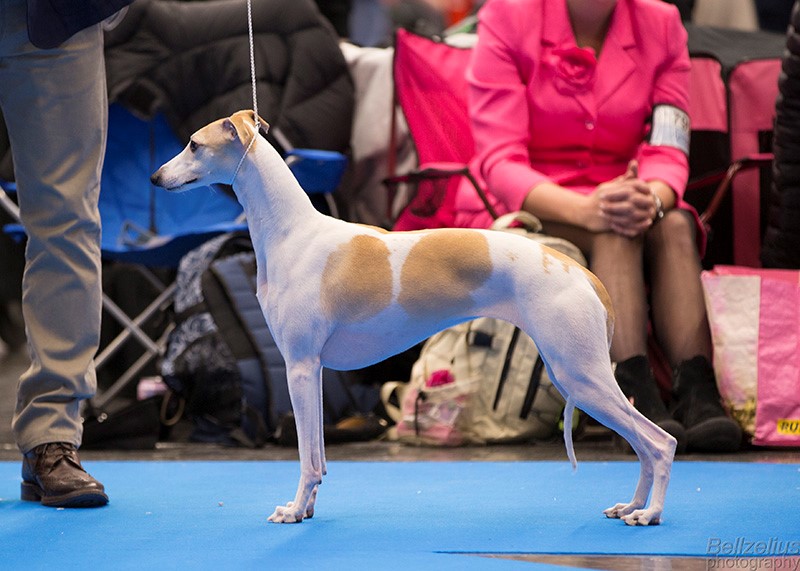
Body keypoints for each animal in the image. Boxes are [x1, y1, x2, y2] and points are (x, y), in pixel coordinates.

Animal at [152, 110, 676, 528]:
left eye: (194, 144)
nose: (155, 178)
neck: (290, 231)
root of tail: (583, 272)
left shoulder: (298, 366)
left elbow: (305, 459)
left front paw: (293, 510)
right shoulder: (314, 371)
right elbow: (318, 455)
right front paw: (307, 510)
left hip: (580, 374)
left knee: (659, 441)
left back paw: (649, 513)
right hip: (578, 374)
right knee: (642, 444)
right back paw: (630, 507)